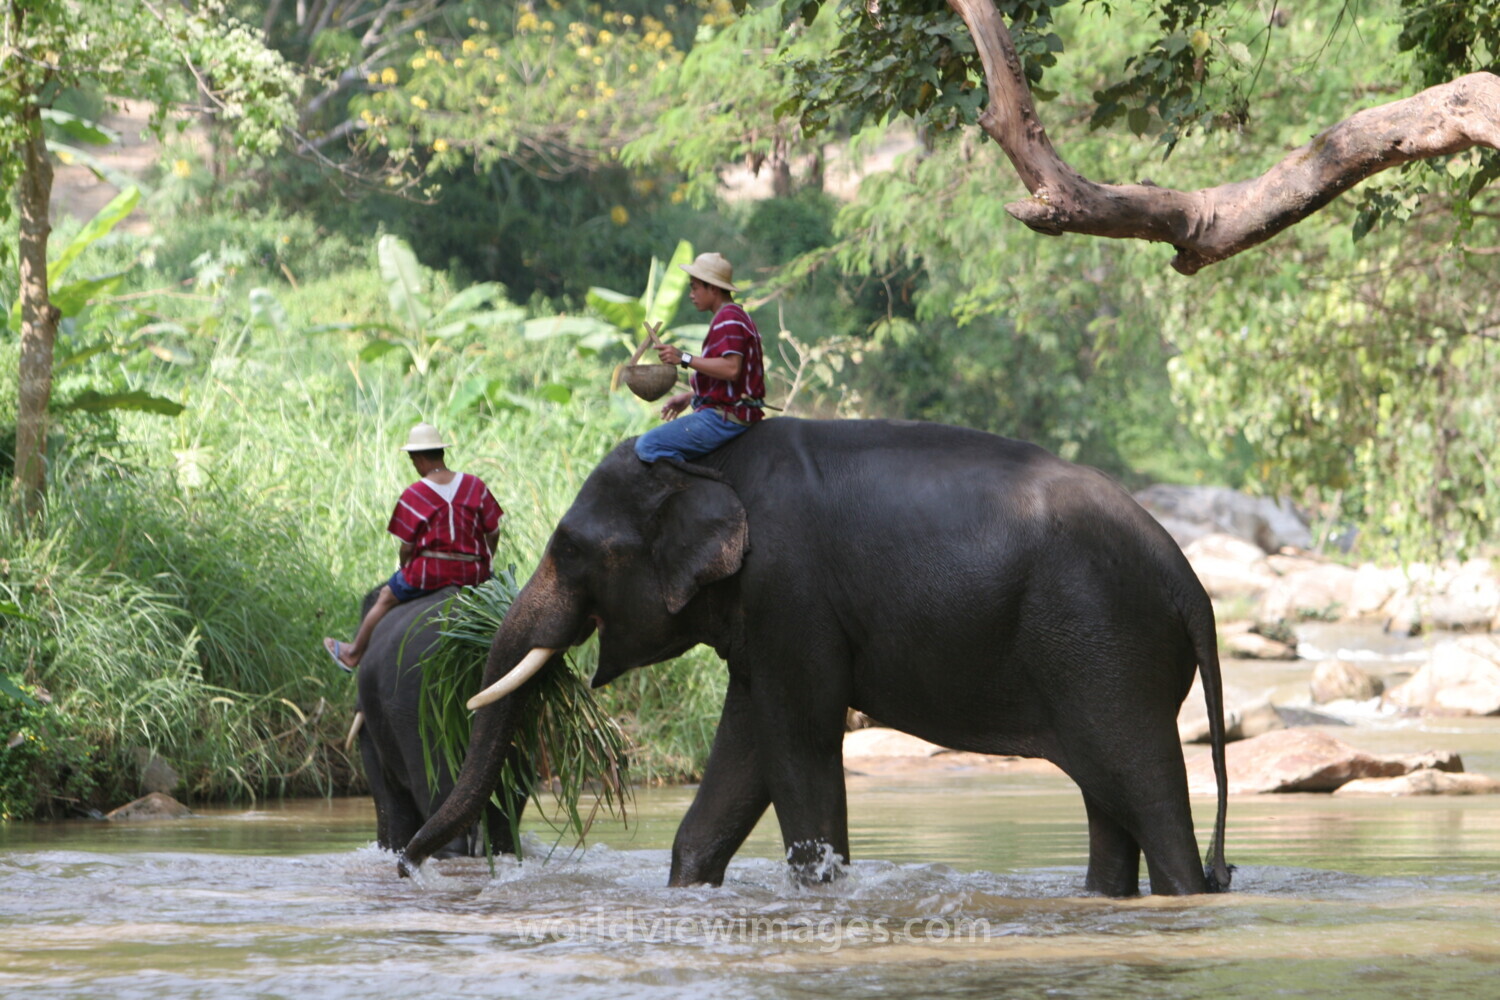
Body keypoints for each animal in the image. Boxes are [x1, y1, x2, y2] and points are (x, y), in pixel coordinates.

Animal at [398, 417, 1231, 896]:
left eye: (570, 549)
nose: (407, 865)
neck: (714, 464)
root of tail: (1191, 584)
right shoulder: (761, 618)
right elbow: (747, 747)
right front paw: (691, 889)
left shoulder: (790, 592)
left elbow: (796, 741)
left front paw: (819, 891)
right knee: (1106, 799)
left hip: (1107, 645)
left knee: (1145, 790)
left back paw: (1188, 892)